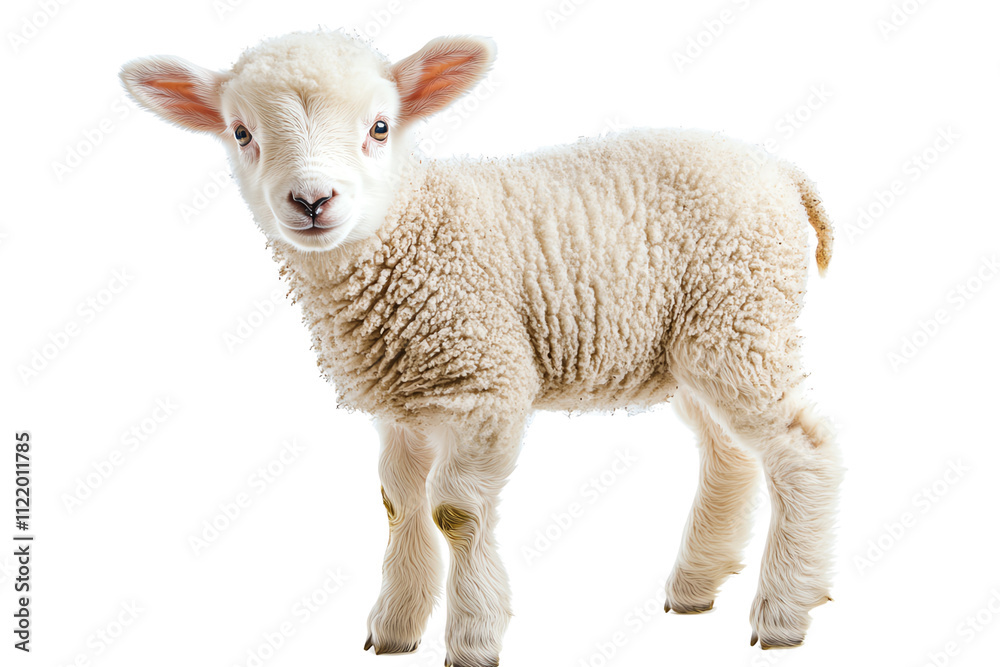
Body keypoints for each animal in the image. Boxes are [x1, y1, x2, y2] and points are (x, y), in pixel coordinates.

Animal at [120, 29, 842, 664]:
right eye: (242, 133)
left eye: (379, 128)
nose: (313, 200)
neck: (410, 228)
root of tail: (781, 171)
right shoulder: (402, 402)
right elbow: (397, 502)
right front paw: (395, 627)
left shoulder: (486, 383)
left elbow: (455, 512)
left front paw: (471, 638)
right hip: (695, 344)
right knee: (729, 451)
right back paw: (696, 586)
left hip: (740, 319)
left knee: (802, 448)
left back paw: (785, 611)